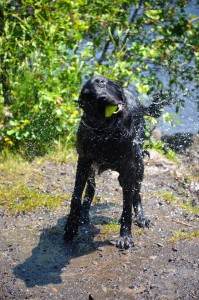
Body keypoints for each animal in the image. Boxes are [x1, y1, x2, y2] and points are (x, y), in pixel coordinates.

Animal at [64, 75, 166, 248]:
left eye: (102, 82)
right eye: (88, 96)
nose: (102, 98)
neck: (108, 133)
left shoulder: (130, 166)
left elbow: (127, 204)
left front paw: (125, 236)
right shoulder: (84, 160)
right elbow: (76, 196)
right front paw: (71, 227)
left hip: (138, 166)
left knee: (136, 194)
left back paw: (141, 218)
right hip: (93, 169)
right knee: (91, 189)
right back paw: (84, 214)